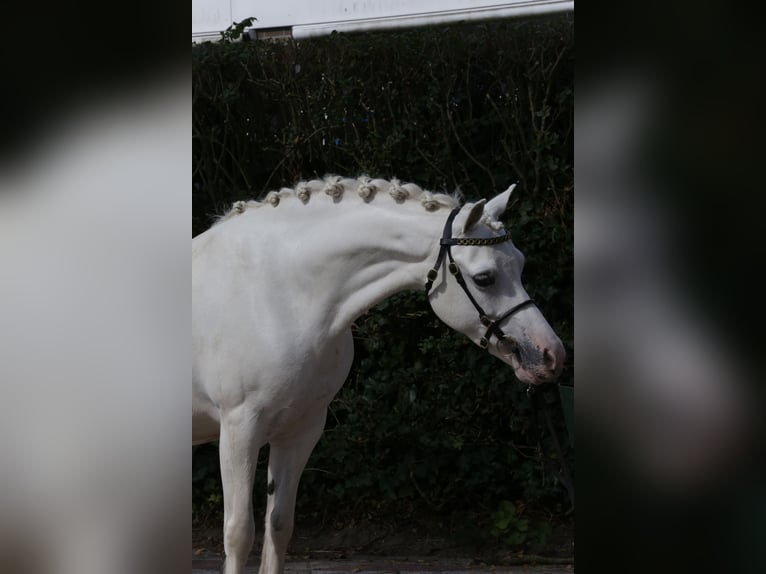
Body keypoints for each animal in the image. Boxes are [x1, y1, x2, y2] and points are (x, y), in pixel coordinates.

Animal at [192, 177, 564, 574]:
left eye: (521, 265)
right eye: (484, 278)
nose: (550, 354)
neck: (278, 293)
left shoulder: (300, 430)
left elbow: (279, 526)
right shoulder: (240, 429)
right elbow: (239, 534)